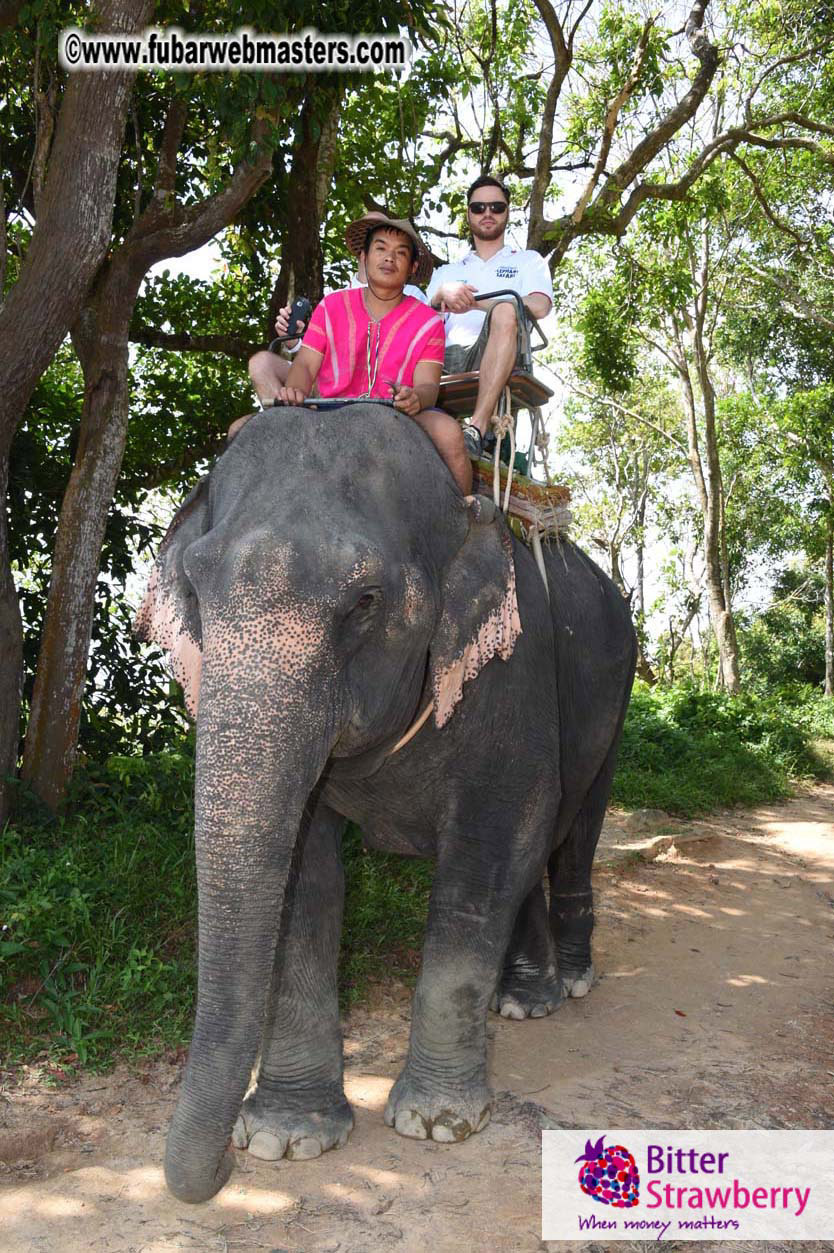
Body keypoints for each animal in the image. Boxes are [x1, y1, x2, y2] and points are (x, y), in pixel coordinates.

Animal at [136, 403, 636, 1204]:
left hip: (616, 692)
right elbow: (303, 877)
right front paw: (285, 1137)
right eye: (195, 588)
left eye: (365, 601)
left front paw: (437, 1122)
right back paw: (523, 1000)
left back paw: (573, 979)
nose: (219, 1169)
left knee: (570, 833)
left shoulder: (510, 670)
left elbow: (491, 850)